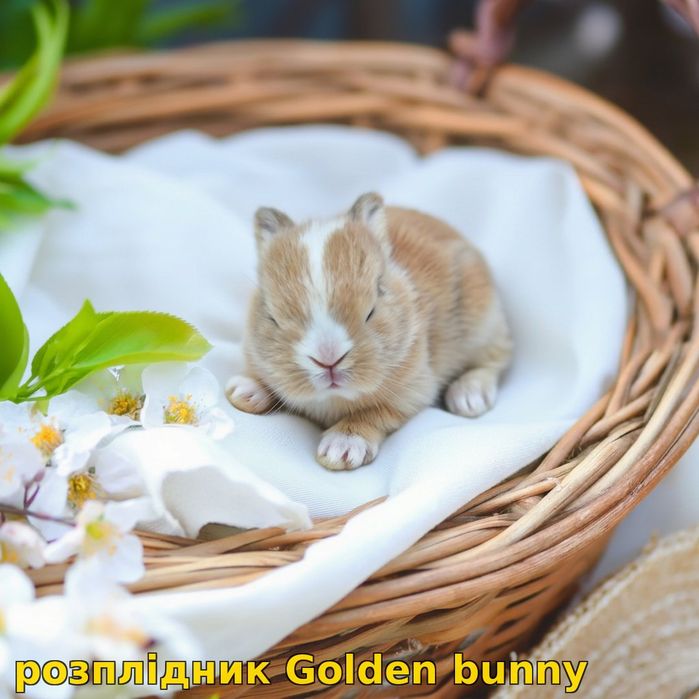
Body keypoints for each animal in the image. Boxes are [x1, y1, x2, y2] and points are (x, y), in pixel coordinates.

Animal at [226, 193, 512, 471]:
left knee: (495, 359)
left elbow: (372, 414)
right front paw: (242, 391)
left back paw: (468, 398)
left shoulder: (411, 393)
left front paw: (341, 448)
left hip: (483, 323)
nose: (328, 360)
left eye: (372, 309)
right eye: (272, 316)